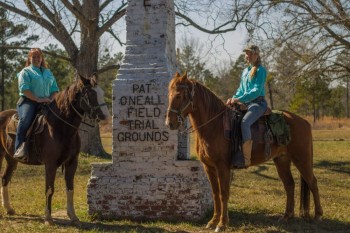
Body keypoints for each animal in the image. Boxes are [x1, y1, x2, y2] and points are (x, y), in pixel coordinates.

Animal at [0, 73, 110, 226]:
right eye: (90, 94)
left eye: (102, 93)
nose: (106, 117)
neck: (60, 127)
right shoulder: (50, 164)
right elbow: (49, 189)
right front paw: (48, 218)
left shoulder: (72, 163)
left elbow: (70, 188)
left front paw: (73, 217)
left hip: (11, 159)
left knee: (5, 178)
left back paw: (9, 209)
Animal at [165, 72, 324, 231]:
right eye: (169, 95)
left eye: (179, 95)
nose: (169, 123)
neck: (214, 125)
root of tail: (303, 121)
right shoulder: (209, 167)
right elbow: (215, 194)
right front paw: (213, 221)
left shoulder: (222, 167)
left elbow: (224, 193)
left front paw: (222, 224)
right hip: (282, 160)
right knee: (289, 185)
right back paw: (286, 216)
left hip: (302, 159)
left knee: (312, 183)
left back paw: (317, 215)